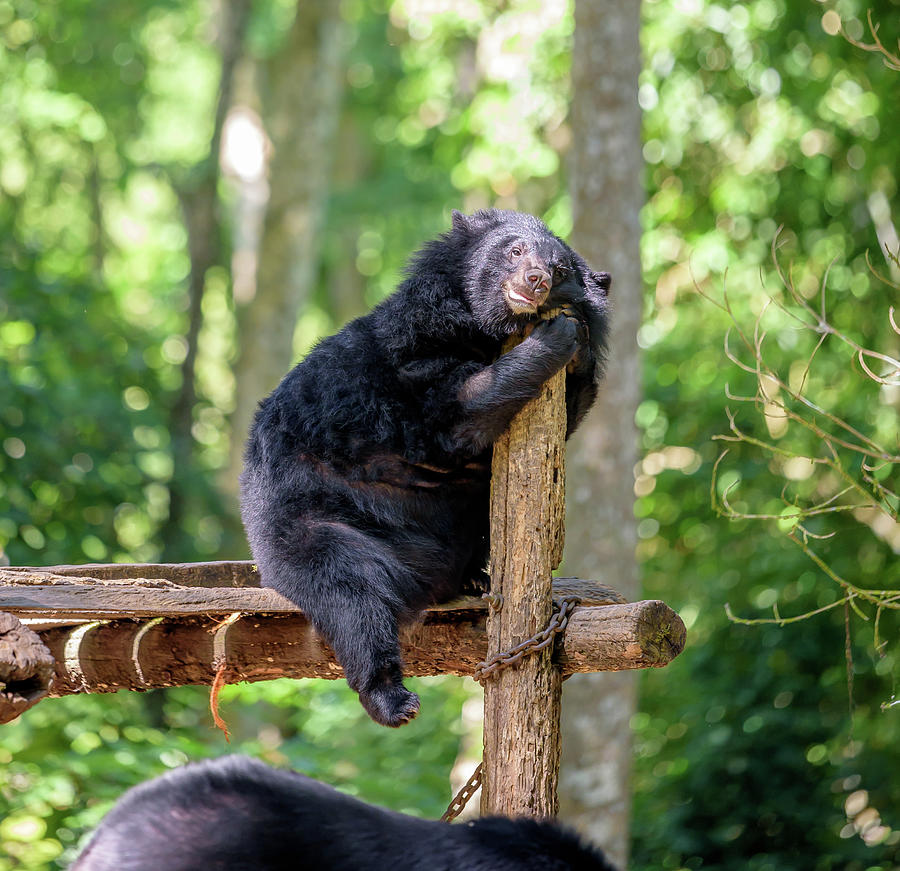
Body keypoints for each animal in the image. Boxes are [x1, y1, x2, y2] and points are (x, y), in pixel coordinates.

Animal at [239, 211, 608, 728]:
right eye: (515, 251)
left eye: (558, 268)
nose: (535, 280)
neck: (487, 329)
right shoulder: (413, 354)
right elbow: (456, 412)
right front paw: (559, 336)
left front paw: (580, 342)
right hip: (305, 519)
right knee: (350, 592)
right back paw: (393, 698)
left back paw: (474, 578)